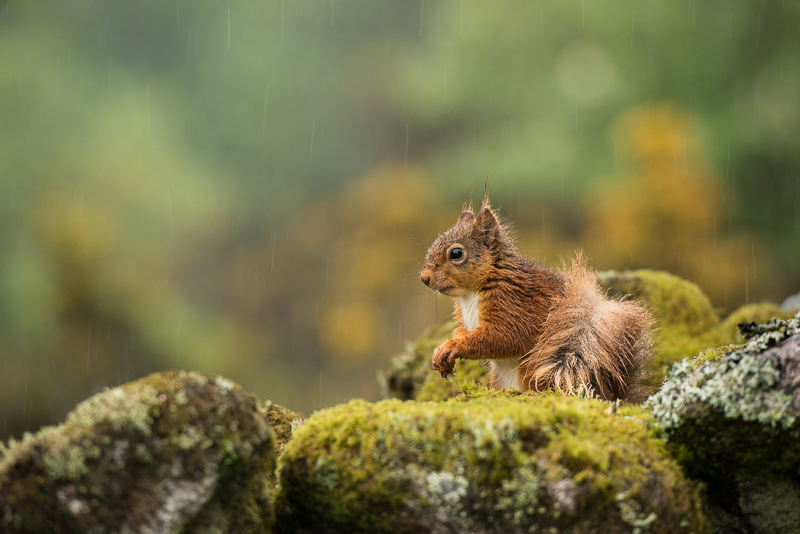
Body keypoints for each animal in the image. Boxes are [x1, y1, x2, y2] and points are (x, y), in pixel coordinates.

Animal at [419, 194, 653, 401]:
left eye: (456, 253)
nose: (424, 278)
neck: (470, 294)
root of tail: (608, 394)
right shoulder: (465, 319)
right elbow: (463, 332)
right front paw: (440, 352)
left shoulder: (514, 304)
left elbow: (504, 337)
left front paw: (452, 347)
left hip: (532, 370)